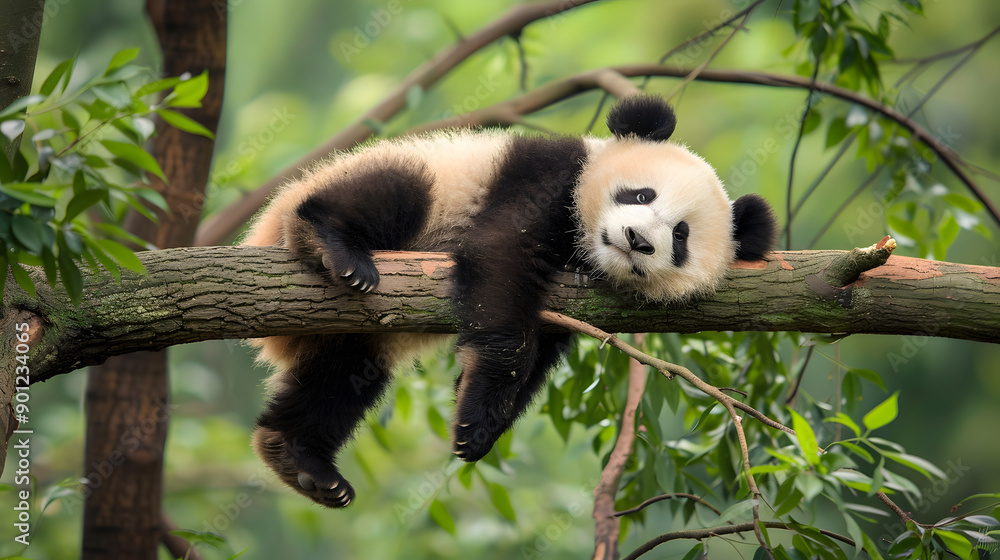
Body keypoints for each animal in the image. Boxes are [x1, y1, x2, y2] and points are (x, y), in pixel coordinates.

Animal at [242, 94, 777, 508]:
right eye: (642, 195)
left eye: (681, 236)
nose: (637, 239)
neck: (583, 244)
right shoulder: (549, 176)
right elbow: (501, 261)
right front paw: (477, 411)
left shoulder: (569, 310)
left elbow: (537, 351)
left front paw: (481, 425)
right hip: (401, 190)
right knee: (396, 191)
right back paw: (331, 243)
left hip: (347, 331)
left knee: (341, 378)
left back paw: (299, 458)